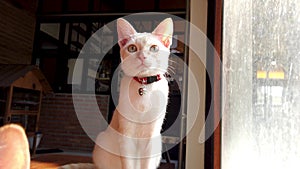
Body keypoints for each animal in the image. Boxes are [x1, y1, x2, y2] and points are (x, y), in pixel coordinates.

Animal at [93, 17, 173, 169]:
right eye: (132, 48)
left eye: (154, 48)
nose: (142, 56)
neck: (144, 86)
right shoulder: (126, 135)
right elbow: (129, 164)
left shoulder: (151, 136)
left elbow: (146, 164)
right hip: (102, 140)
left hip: (158, 144)